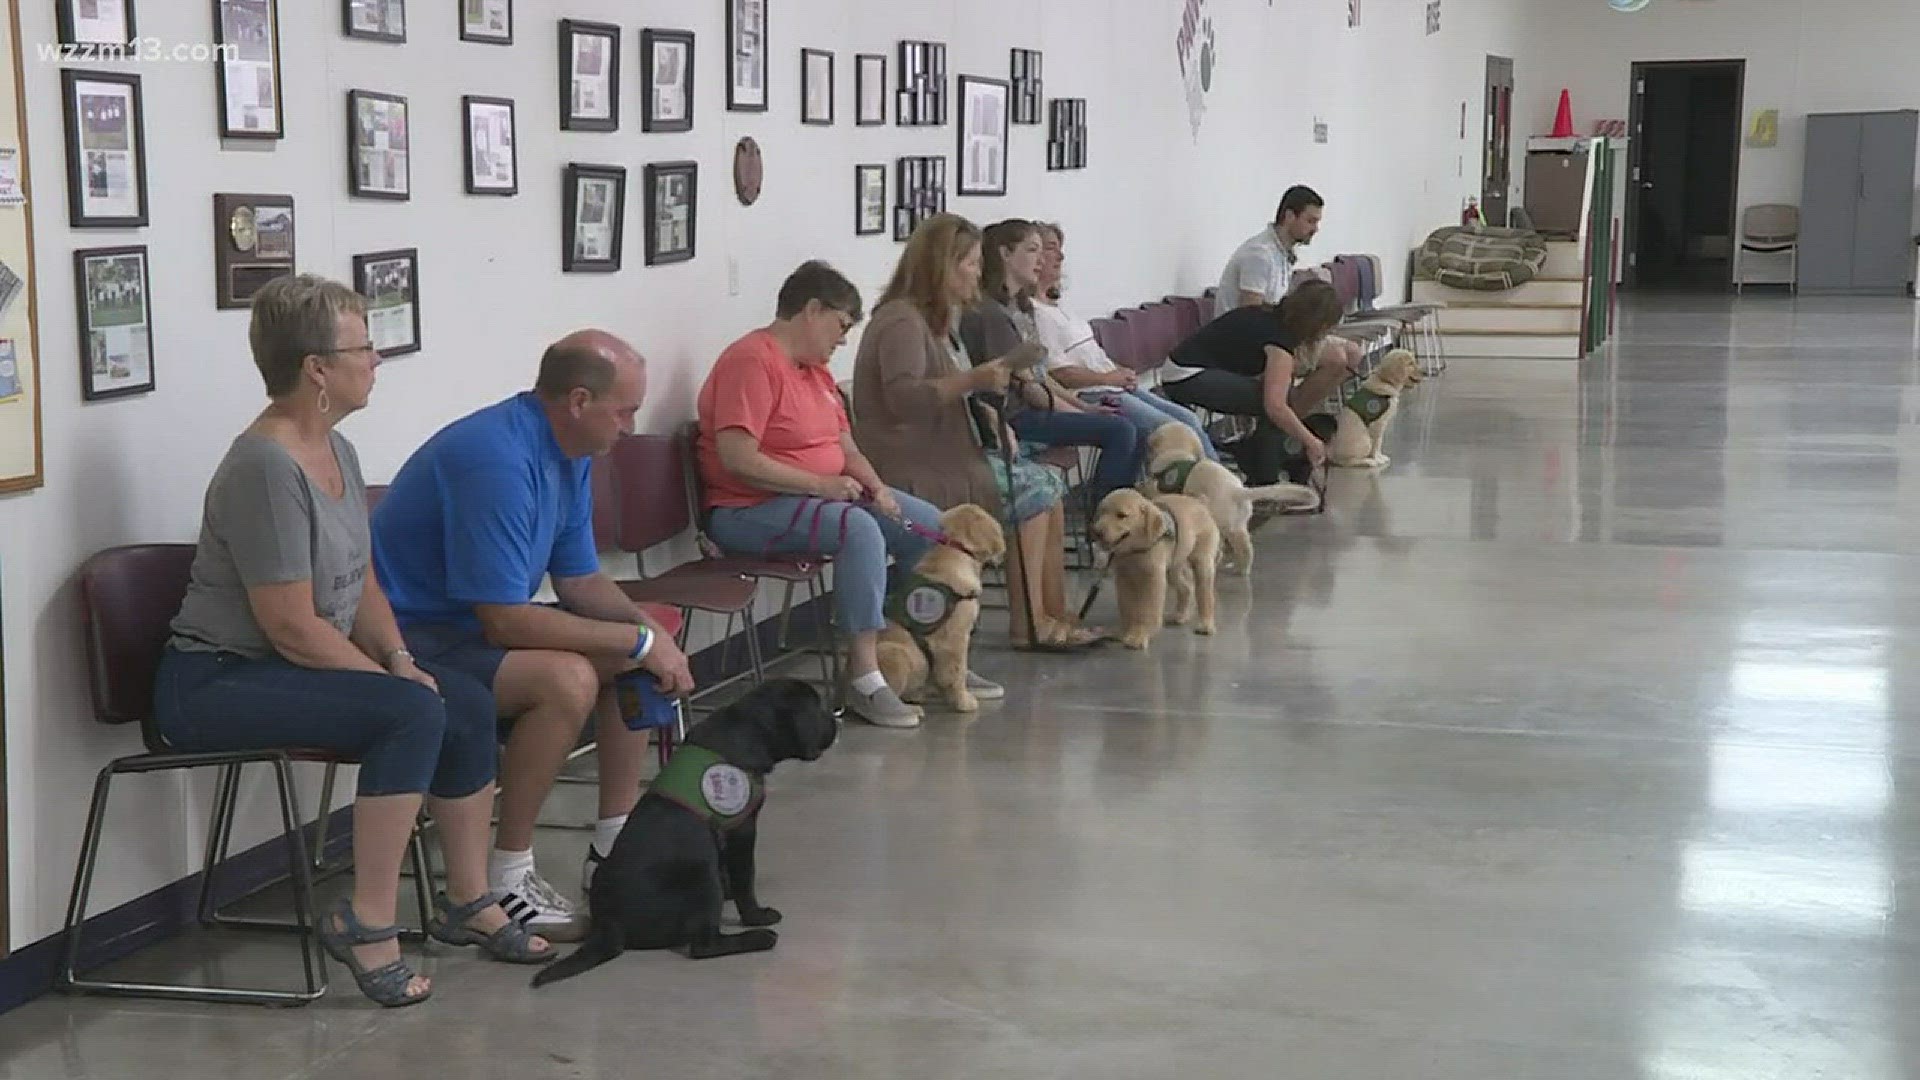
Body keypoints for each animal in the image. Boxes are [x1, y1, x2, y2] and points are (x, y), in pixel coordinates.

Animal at [537, 676, 844, 991]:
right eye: (817, 708)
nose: (835, 720)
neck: (749, 730)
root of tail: (608, 925)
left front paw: (733, 892)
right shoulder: (742, 830)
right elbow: (746, 878)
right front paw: (756, 916)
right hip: (701, 875)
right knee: (703, 946)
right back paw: (758, 938)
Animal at [1098, 488, 1213, 645]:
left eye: (1121, 515)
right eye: (1102, 512)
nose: (1096, 532)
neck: (1135, 550)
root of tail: (1201, 503)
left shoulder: (1153, 578)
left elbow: (1148, 609)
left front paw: (1141, 635)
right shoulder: (1123, 578)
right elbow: (1127, 607)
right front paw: (1126, 631)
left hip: (1202, 562)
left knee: (1205, 595)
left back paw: (1206, 624)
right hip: (1173, 568)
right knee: (1186, 588)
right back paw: (1180, 615)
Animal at [1136, 418, 1320, 572]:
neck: (1177, 451)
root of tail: (1237, 491)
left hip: (1223, 524)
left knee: (1223, 547)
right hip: (1238, 525)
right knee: (1246, 549)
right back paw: (1241, 569)